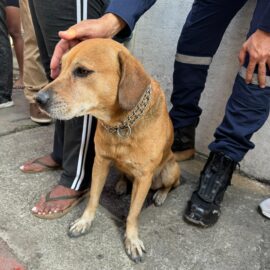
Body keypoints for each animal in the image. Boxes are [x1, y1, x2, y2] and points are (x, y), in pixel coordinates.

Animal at [35, 39, 179, 262]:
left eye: (82, 71)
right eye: (61, 66)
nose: (38, 99)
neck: (120, 124)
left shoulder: (144, 177)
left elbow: (133, 213)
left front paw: (132, 239)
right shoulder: (100, 162)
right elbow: (93, 196)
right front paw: (84, 221)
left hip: (170, 170)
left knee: (172, 184)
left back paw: (161, 195)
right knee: (124, 175)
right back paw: (121, 184)